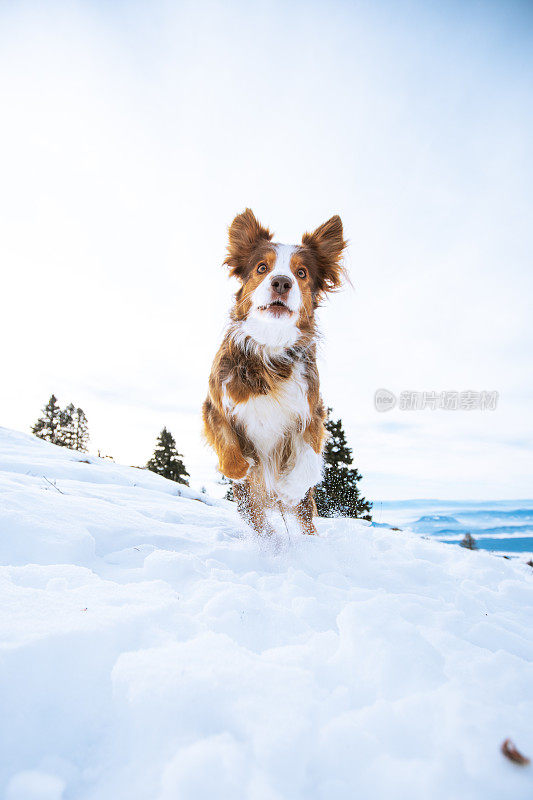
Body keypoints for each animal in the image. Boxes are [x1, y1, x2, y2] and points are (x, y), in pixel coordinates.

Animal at [203, 209, 344, 536]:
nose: (281, 282)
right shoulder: (215, 403)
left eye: (301, 273)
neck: (271, 347)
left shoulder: (312, 410)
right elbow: (228, 446)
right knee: (260, 523)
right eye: (261, 268)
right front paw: (241, 467)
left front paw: (288, 489)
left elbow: (309, 456)